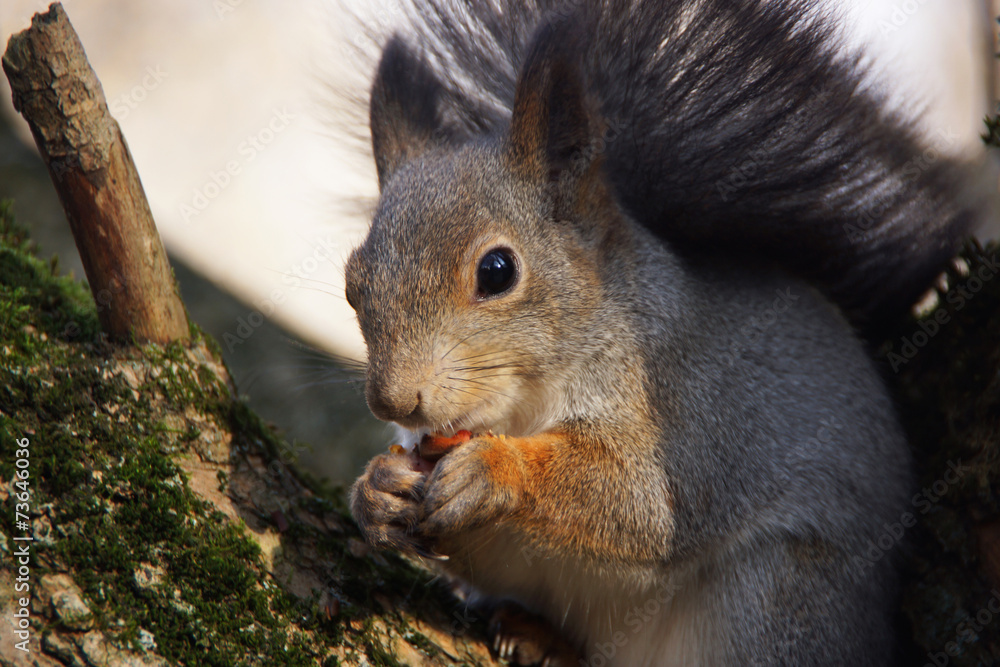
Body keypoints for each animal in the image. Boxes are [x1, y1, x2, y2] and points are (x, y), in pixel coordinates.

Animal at [344, 0, 989, 664]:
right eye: (352, 283)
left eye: (497, 271)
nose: (394, 401)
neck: (522, 408)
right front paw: (376, 492)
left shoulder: (688, 411)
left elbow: (641, 502)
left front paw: (496, 470)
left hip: (775, 599)